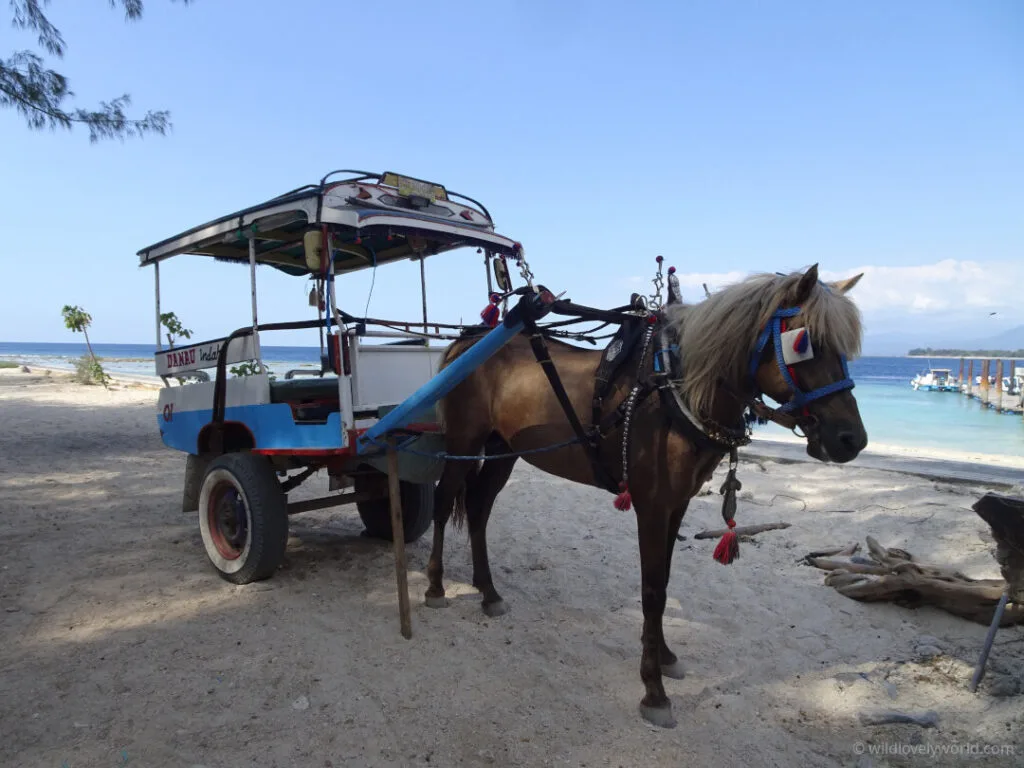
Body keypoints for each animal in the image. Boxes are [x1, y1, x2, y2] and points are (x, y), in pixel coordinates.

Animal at [424, 264, 867, 728]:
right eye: (805, 343)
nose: (851, 439)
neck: (674, 392)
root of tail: (467, 341)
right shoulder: (652, 506)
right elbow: (653, 591)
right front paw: (654, 689)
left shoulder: (677, 504)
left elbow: (665, 583)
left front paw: (665, 655)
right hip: (463, 443)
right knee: (443, 503)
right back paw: (435, 586)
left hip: (502, 450)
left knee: (478, 508)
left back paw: (488, 592)